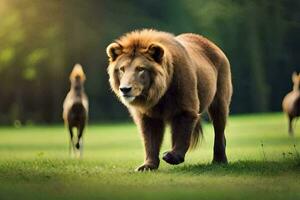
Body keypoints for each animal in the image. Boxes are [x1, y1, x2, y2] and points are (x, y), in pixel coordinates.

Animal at [106, 28, 233, 171]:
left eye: (140, 69)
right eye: (122, 69)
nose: (125, 89)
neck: (158, 93)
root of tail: (212, 44)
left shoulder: (181, 91)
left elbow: (183, 123)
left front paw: (171, 156)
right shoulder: (148, 110)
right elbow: (150, 134)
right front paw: (146, 165)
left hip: (220, 82)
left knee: (219, 118)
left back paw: (219, 159)